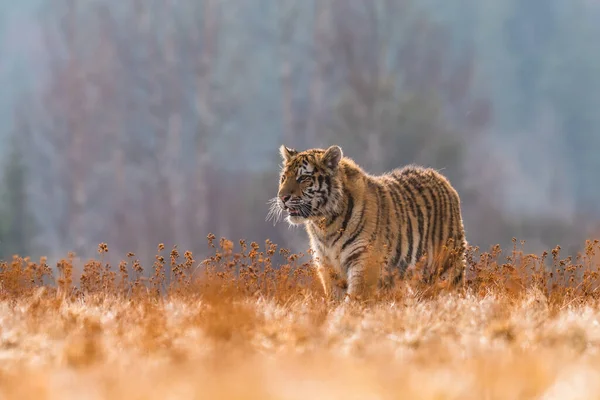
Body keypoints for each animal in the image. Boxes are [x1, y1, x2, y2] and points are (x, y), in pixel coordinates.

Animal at [268, 145, 468, 302]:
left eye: (303, 178)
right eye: (283, 178)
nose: (282, 197)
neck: (324, 224)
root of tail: (443, 180)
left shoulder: (364, 261)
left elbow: (354, 300)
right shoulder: (326, 267)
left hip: (448, 267)